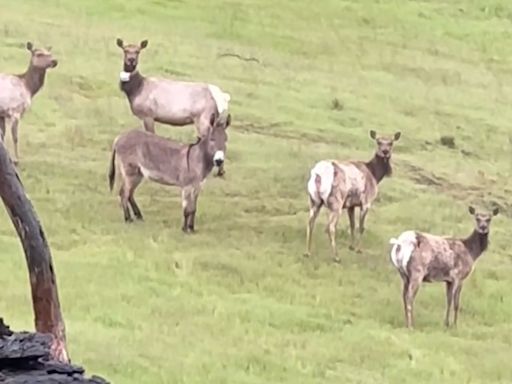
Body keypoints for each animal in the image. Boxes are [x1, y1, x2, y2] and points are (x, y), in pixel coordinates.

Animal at [116, 38, 230, 176]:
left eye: (138, 51)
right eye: (125, 50)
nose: (131, 60)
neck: (136, 89)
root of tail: (222, 97)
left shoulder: (148, 114)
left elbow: (151, 134)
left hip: (203, 118)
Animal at [304, 130, 400, 262]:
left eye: (391, 142)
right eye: (378, 142)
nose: (385, 152)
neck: (375, 174)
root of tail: (318, 174)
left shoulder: (351, 205)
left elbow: (352, 225)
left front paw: (351, 246)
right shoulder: (366, 202)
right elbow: (361, 226)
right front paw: (359, 249)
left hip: (314, 201)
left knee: (310, 222)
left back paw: (307, 252)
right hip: (336, 203)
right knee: (331, 227)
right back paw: (336, 256)